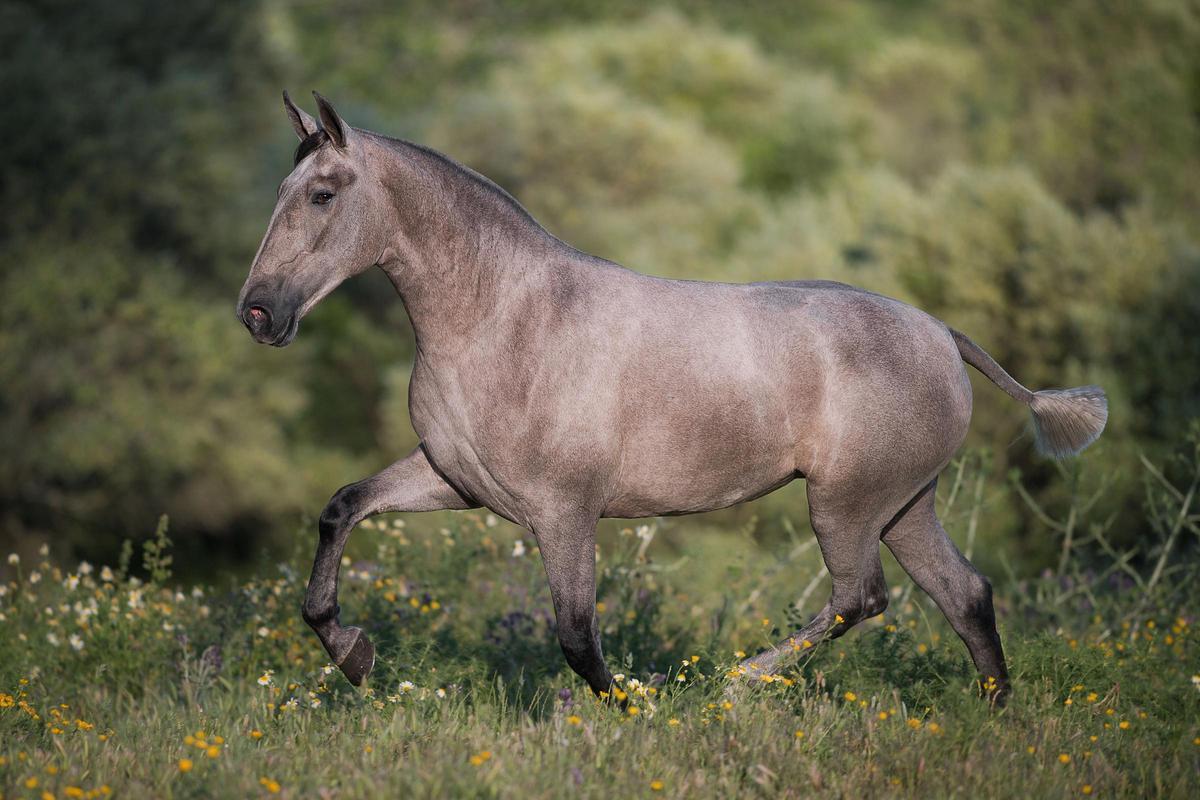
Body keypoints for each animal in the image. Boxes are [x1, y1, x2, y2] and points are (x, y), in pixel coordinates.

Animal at [234, 94, 1104, 705]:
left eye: (322, 194)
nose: (258, 315)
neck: (501, 319)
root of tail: (942, 335)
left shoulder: (564, 511)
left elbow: (577, 638)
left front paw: (640, 706)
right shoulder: (455, 481)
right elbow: (343, 507)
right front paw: (352, 655)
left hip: (848, 504)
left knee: (862, 597)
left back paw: (742, 680)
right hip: (905, 504)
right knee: (965, 598)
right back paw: (994, 716)